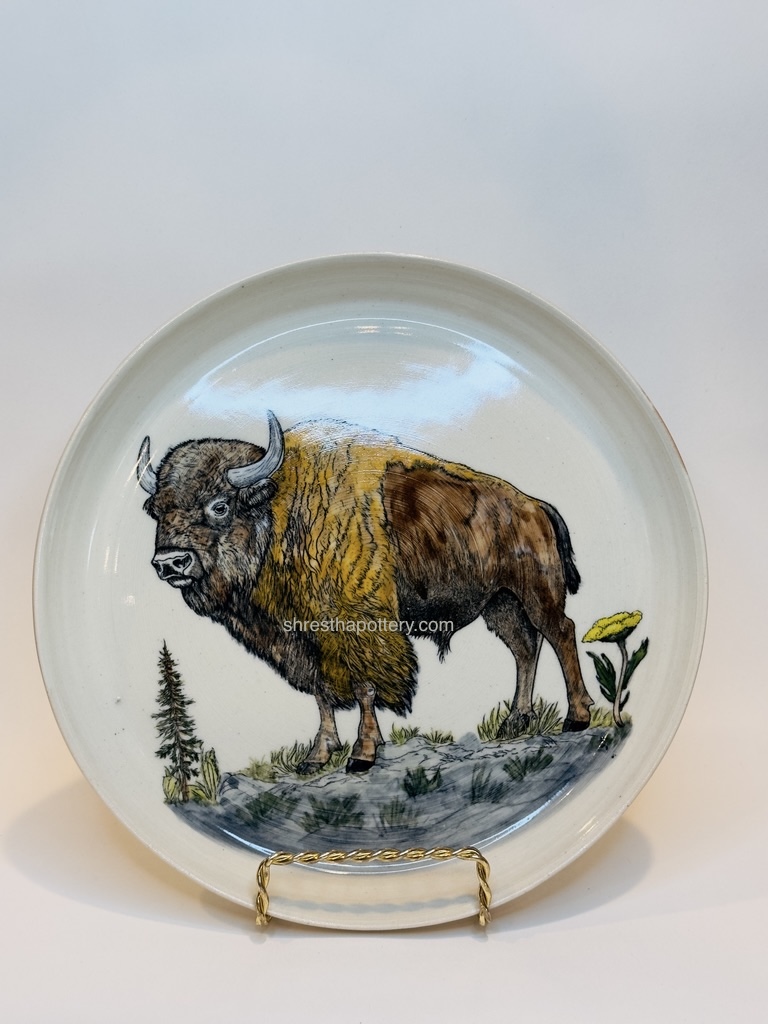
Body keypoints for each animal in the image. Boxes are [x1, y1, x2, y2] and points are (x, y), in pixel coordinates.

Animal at [137, 414, 593, 773]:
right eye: (156, 510)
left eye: (219, 505)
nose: (169, 563)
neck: (282, 510)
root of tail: (534, 507)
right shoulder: (306, 636)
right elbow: (321, 692)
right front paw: (317, 757)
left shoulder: (356, 624)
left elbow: (364, 687)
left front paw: (363, 754)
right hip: (500, 604)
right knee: (525, 648)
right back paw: (516, 722)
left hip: (536, 592)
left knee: (561, 633)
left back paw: (577, 717)